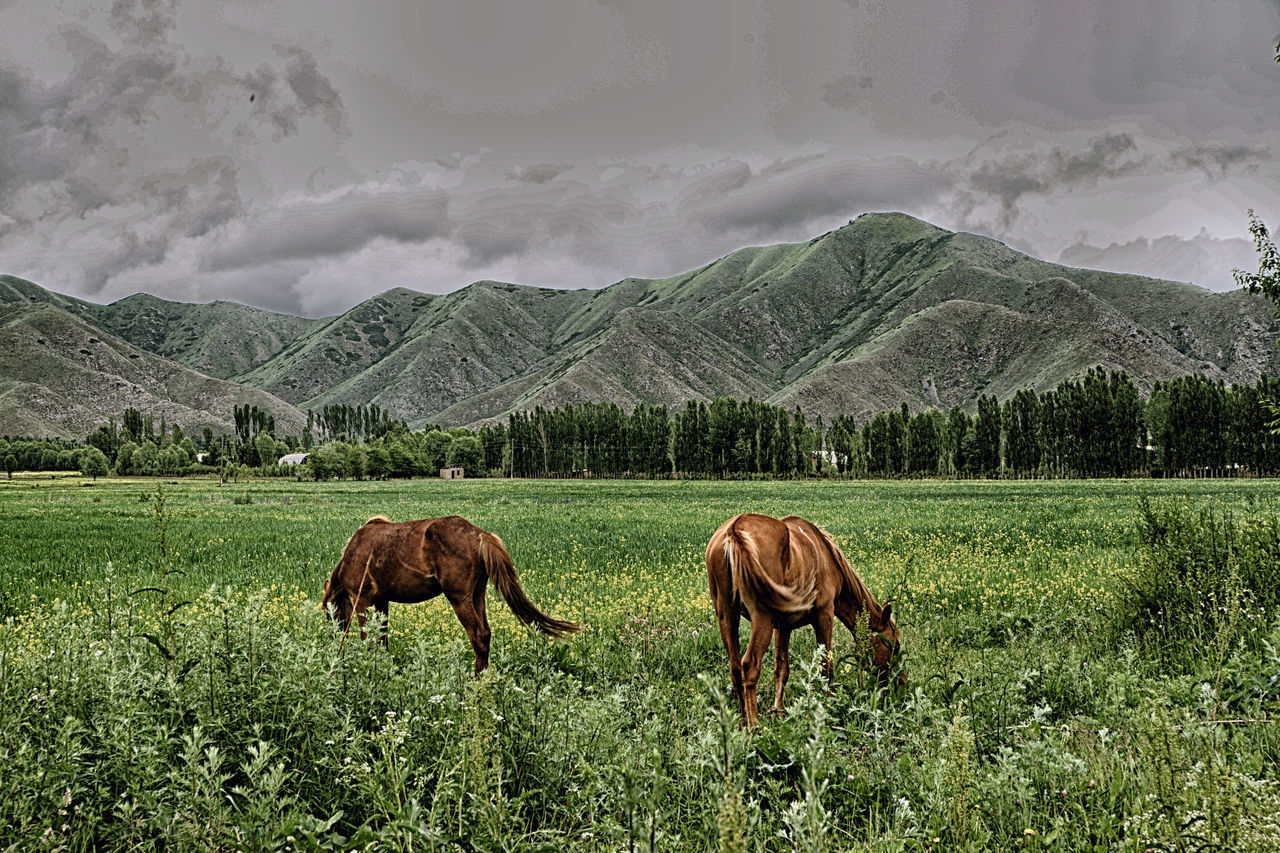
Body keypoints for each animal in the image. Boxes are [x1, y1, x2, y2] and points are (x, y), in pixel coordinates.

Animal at [320, 512, 581, 671]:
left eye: (329, 613)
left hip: (459, 598)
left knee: (478, 635)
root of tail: (480, 535)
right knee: (486, 633)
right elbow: (382, 636)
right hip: (477, 595)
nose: (334, 637)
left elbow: (368, 637)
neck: (354, 552)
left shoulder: (361, 598)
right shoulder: (383, 601)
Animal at [706, 512, 906, 722]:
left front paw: (779, 711)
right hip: (762, 620)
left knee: (735, 669)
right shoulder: (824, 615)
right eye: (893, 646)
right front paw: (829, 706)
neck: (826, 557)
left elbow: (781, 669)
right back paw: (754, 725)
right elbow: (826, 665)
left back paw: (744, 723)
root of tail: (734, 531)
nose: (901, 684)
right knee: (749, 666)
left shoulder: (782, 627)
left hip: (727, 617)